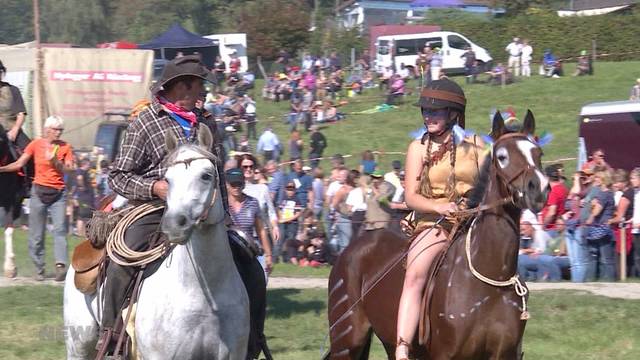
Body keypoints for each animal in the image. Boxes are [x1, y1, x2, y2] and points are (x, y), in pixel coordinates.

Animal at [328, 111, 548, 358]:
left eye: (538, 153)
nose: (539, 189)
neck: (492, 278)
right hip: (346, 341)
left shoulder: (503, 354)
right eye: (502, 156)